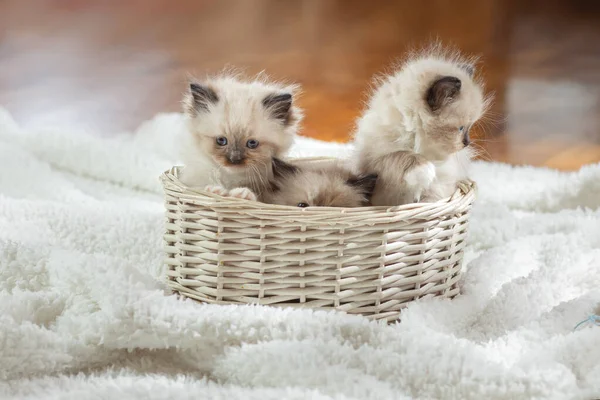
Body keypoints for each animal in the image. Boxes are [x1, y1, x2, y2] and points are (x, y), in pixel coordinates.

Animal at [177, 72, 300, 200]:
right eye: (221, 140)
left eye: (252, 143)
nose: (234, 159)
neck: (230, 179)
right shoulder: (191, 182)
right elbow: (200, 188)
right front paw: (215, 191)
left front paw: (242, 194)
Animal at [354, 44, 490, 206]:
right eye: (461, 128)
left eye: (469, 127)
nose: (467, 143)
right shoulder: (375, 162)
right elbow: (403, 155)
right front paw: (426, 172)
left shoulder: (442, 186)